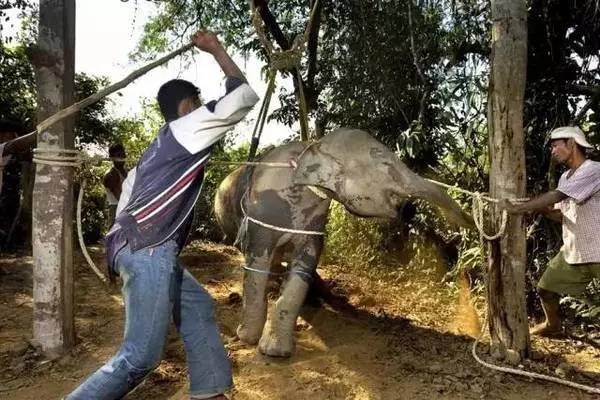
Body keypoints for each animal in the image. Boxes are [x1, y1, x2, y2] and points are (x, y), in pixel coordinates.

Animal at [216, 127, 474, 356]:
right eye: (385, 164)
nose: (466, 224)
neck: (313, 146)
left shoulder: (315, 220)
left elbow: (305, 264)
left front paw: (276, 351)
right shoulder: (261, 213)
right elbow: (256, 263)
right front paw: (247, 338)